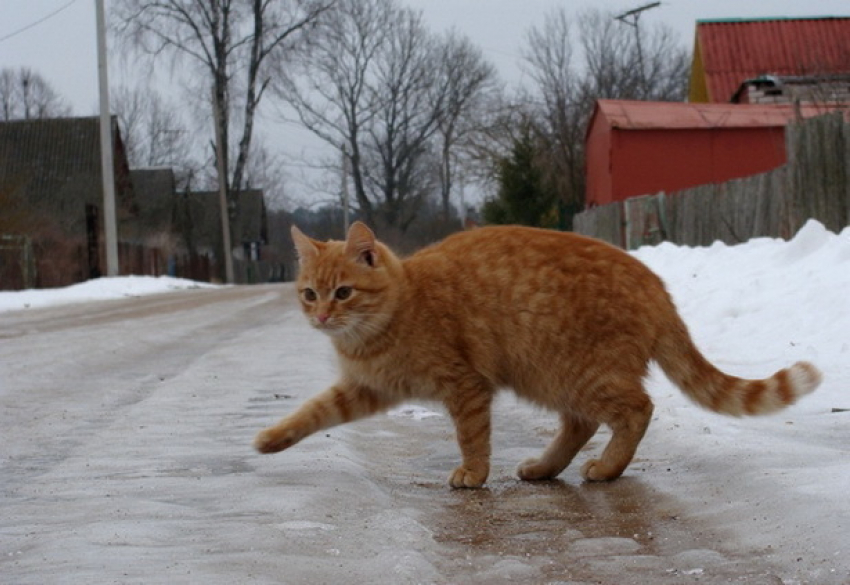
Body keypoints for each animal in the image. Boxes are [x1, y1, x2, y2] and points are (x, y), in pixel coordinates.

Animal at [253, 221, 820, 486]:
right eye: (309, 293)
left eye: (344, 292)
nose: (320, 317)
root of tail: (655, 283)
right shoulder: (364, 389)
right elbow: (314, 411)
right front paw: (273, 439)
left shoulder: (465, 386)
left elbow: (471, 437)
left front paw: (473, 474)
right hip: (554, 378)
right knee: (582, 423)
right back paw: (545, 468)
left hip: (570, 373)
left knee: (636, 410)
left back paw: (607, 468)